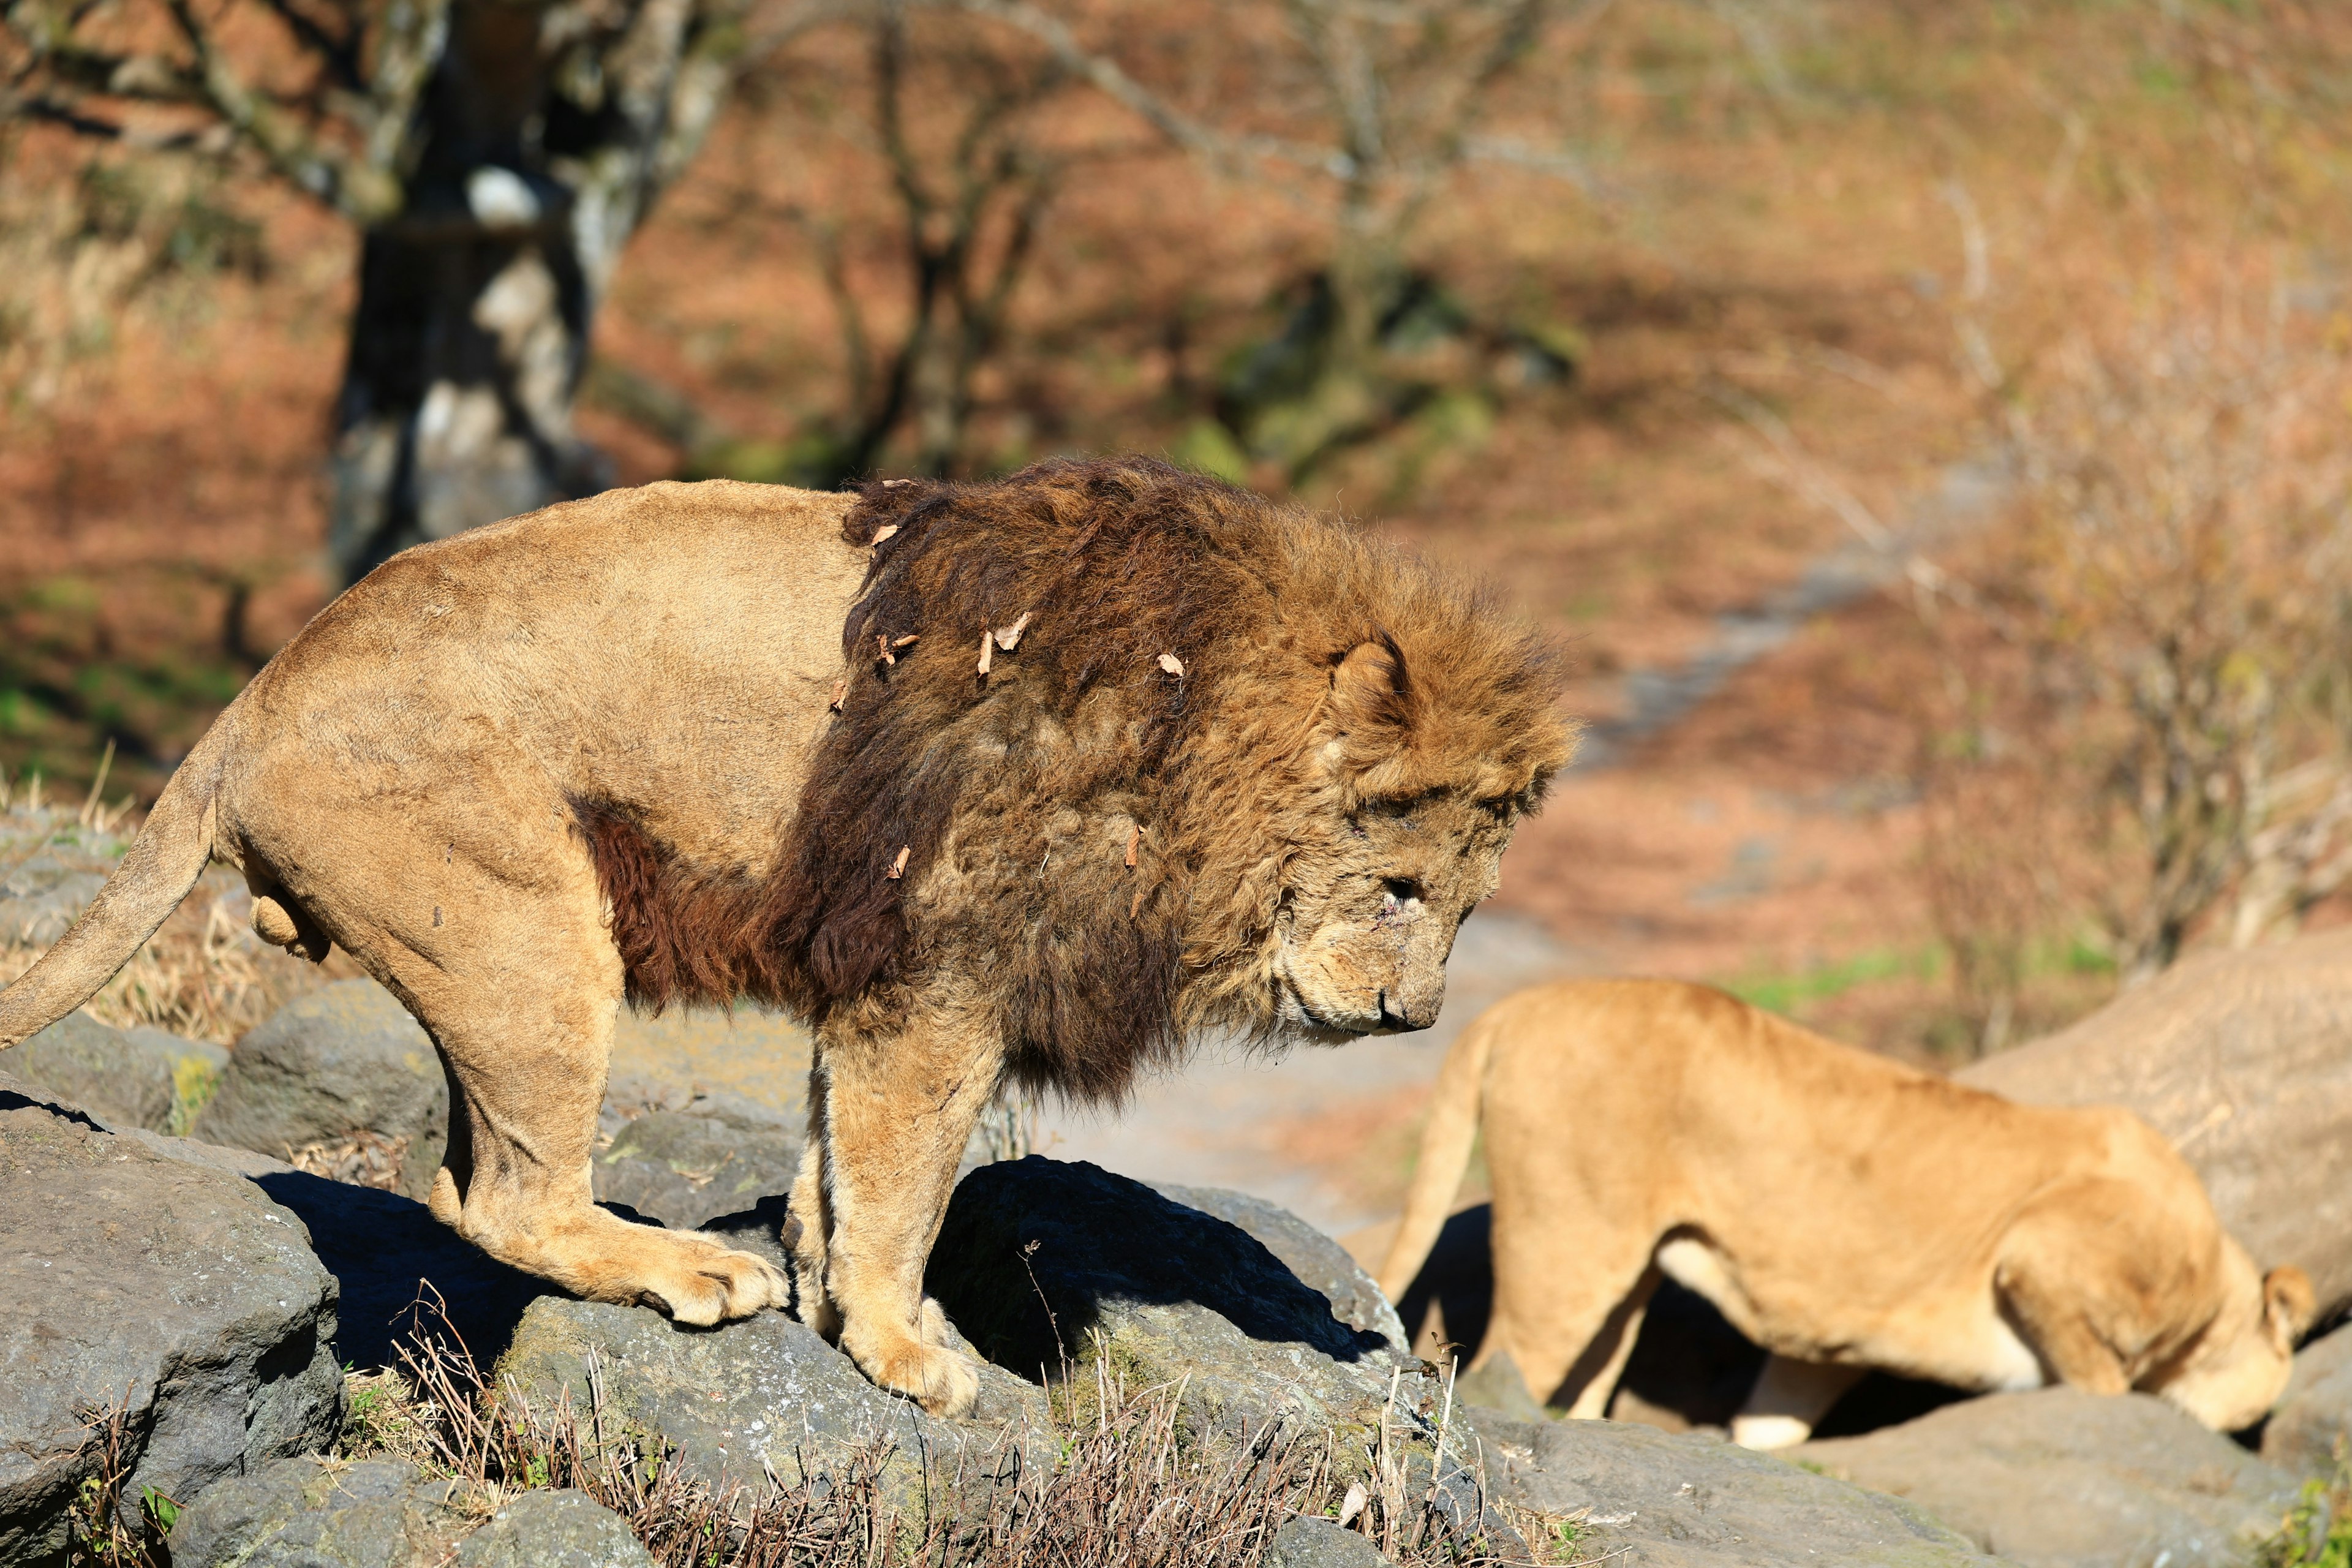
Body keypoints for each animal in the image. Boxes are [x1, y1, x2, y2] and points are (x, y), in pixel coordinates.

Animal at [9, 461, 1580, 1420]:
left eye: (1469, 905)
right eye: (1398, 888)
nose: (1416, 1017)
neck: (1205, 732)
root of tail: (245, 703)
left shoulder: (880, 976)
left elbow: (839, 1161)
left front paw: (848, 1305)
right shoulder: (943, 977)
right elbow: (905, 1183)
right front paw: (901, 1346)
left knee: (467, 1182)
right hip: (530, 918)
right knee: (505, 1198)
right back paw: (693, 1270)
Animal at [1373, 982, 2314, 1448]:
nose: (2245, 1441)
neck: (2220, 1292)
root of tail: (1513, 1007)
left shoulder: (1817, 1354)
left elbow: (1773, 1422)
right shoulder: (2039, 1254)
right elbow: (2099, 1387)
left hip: (1621, 1271)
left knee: (1585, 1381)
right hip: (1567, 1245)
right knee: (1501, 1362)